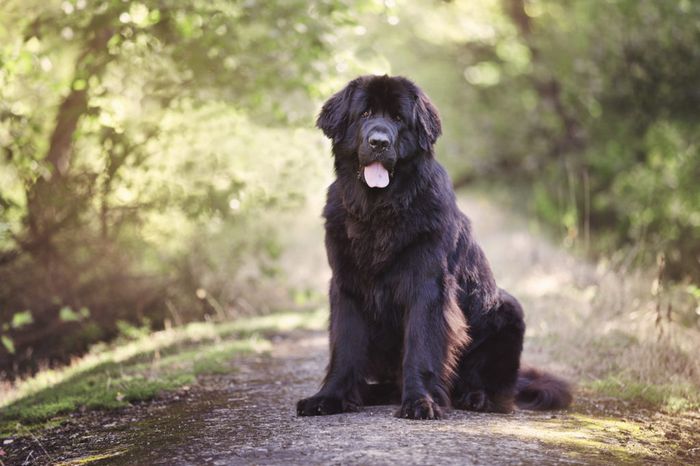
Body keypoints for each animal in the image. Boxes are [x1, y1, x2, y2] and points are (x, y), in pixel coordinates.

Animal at [296, 75, 568, 418]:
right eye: (364, 114)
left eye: (399, 119)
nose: (379, 142)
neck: (379, 209)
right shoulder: (346, 285)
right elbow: (344, 346)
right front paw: (329, 397)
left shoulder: (427, 286)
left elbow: (421, 347)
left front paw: (420, 401)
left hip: (508, 311)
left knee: (497, 390)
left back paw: (476, 397)